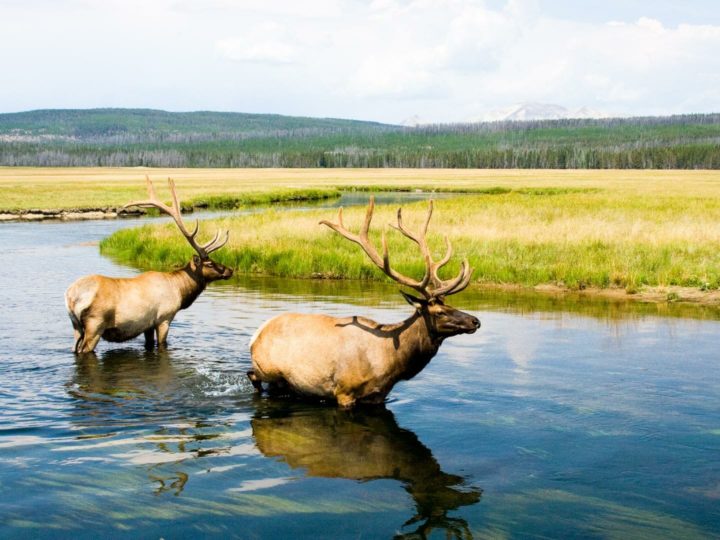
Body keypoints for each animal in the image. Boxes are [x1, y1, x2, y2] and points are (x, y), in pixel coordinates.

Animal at [64, 178, 232, 354]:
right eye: (210, 263)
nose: (230, 270)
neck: (179, 290)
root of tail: (71, 297)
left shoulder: (147, 325)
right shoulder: (164, 317)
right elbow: (162, 344)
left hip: (76, 326)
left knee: (75, 348)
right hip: (95, 323)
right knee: (84, 349)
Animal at [250, 196, 480, 408]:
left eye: (451, 305)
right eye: (439, 312)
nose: (475, 321)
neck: (391, 363)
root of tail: (257, 333)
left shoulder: (379, 395)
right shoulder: (344, 390)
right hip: (268, 369)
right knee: (253, 376)